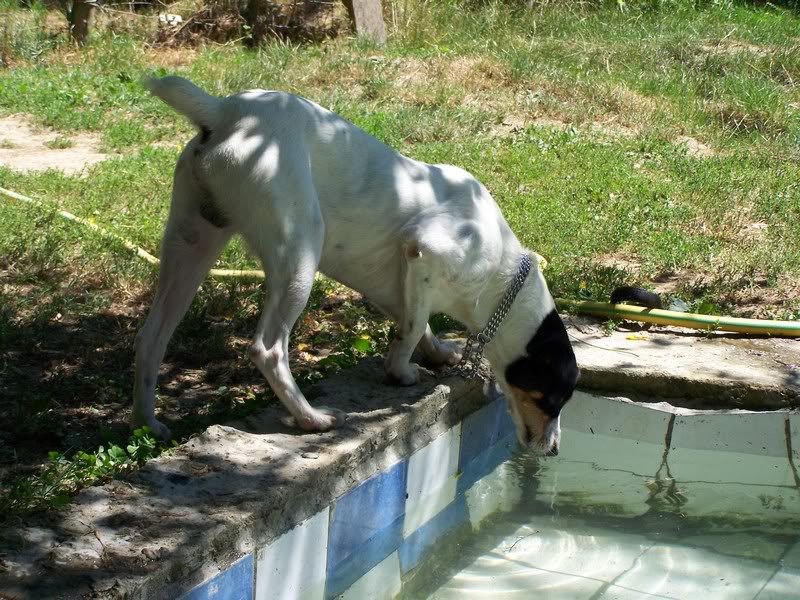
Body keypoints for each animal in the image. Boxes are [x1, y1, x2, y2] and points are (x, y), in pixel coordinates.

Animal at [134, 75, 580, 452]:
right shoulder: (424, 248)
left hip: (191, 246)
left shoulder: (401, 281)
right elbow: (413, 327)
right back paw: (311, 418)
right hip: (298, 256)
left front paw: (436, 353)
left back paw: (146, 424)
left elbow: (417, 323)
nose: (555, 450)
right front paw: (400, 372)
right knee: (268, 350)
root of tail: (224, 111)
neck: (501, 278)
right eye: (554, 397)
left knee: (152, 337)